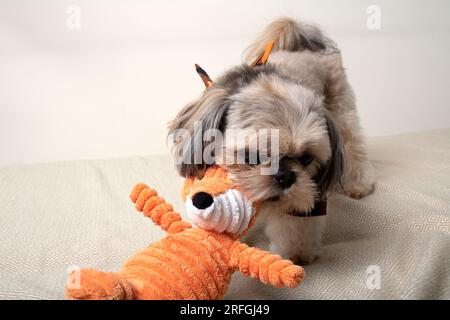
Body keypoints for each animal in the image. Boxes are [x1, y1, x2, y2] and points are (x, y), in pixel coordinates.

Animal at [167, 16, 374, 264]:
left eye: (306, 159)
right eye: (251, 157)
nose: (285, 176)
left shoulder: (304, 198)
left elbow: (295, 226)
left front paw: (297, 255)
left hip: (341, 109)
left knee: (353, 144)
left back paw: (358, 184)